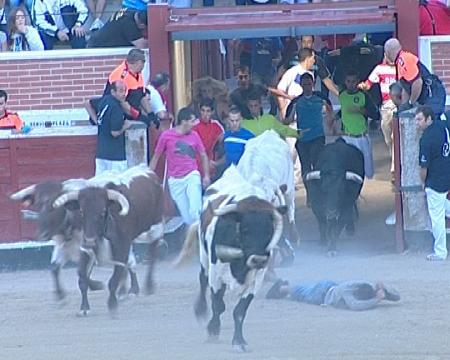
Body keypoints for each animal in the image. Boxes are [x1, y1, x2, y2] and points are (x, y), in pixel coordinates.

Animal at [52, 166, 164, 316]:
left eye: (103, 211)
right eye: (81, 211)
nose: (90, 240)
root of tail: (146, 170)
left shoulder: (121, 246)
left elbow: (113, 279)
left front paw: (112, 304)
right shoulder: (86, 248)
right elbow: (82, 276)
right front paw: (84, 307)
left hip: (155, 228)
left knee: (152, 251)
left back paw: (147, 286)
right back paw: (127, 291)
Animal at [176, 167, 284, 352]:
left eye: (270, 230)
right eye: (245, 229)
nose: (258, 260)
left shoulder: (256, 280)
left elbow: (240, 311)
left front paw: (239, 341)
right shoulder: (216, 274)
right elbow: (218, 305)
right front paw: (213, 330)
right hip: (204, 258)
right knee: (202, 280)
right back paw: (200, 309)